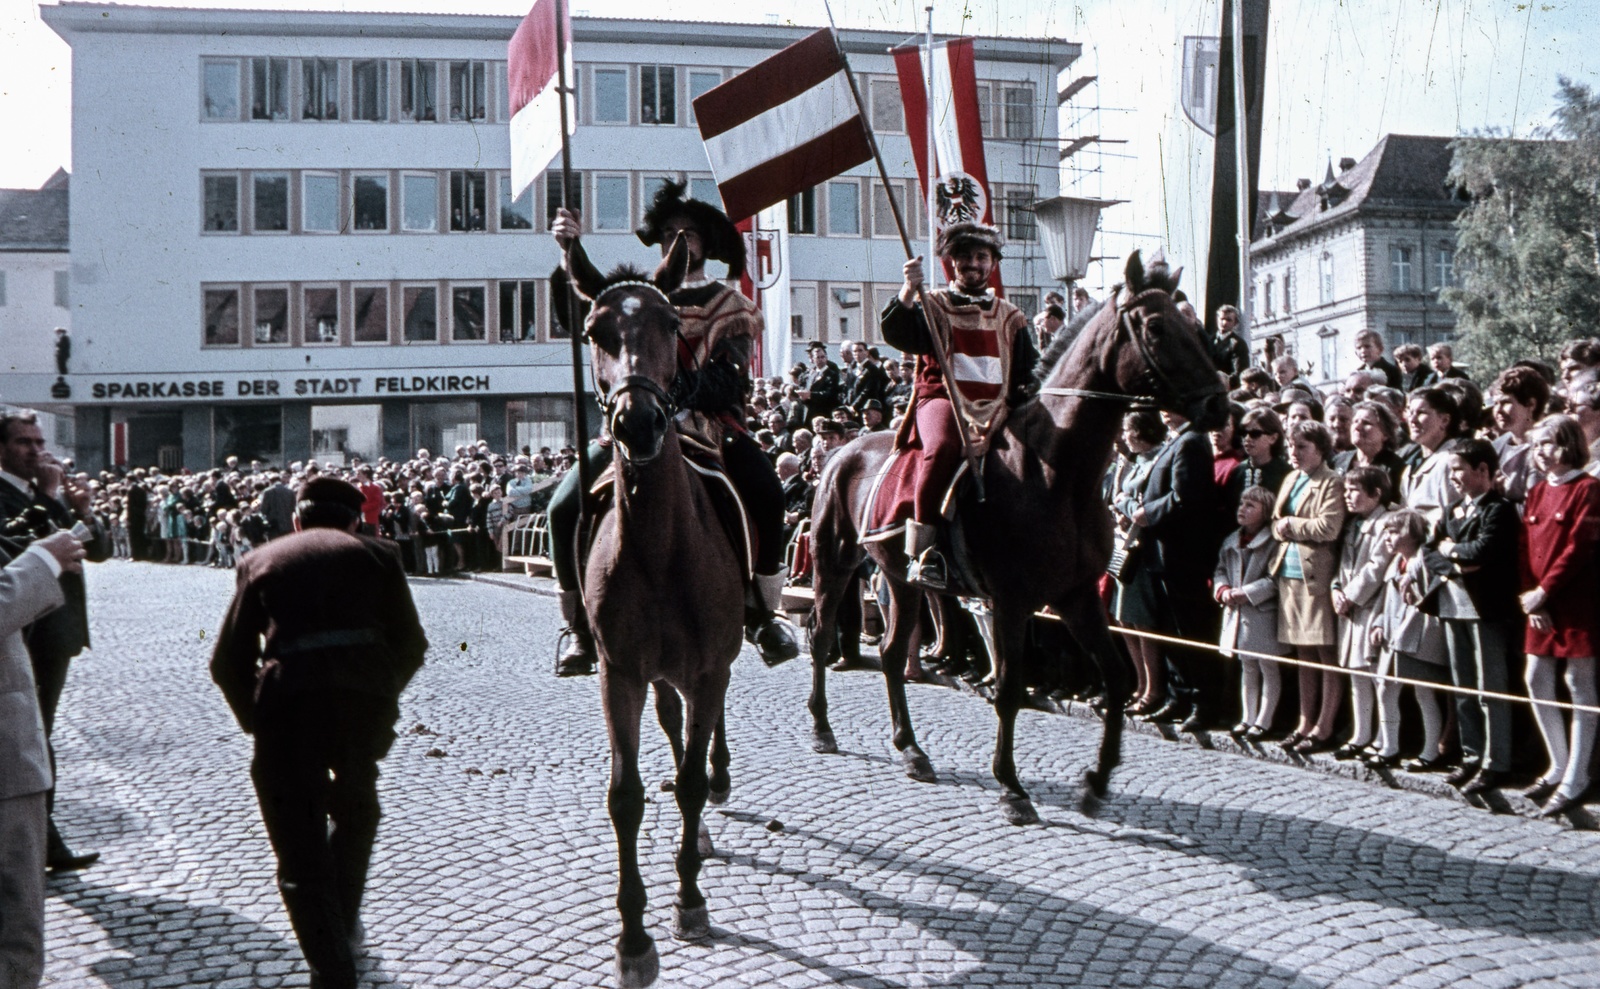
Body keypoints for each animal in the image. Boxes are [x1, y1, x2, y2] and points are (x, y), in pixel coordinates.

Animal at [806, 248, 1228, 825]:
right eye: (1157, 327)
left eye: (1196, 326)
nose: (1220, 405)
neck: (1055, 473)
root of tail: (841, 450)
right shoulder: (1010, 601)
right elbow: (1009, 689)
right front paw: (1011, 788)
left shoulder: (1077, 598)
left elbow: (1117, 678)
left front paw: (1096, 782)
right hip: (836, 563)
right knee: (821, 633)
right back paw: (823, 728)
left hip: (899, 578)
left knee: (893, 654)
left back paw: (912, 750)